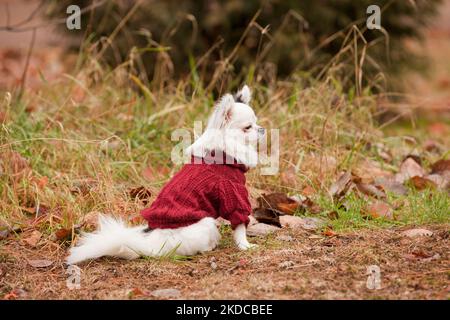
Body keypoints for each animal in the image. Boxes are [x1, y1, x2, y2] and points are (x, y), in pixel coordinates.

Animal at [67, 85, 264, 264]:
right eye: (247, 127)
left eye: (256, 122)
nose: (261, 129)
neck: (223, 151)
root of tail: (150, 243)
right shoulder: (233, 194)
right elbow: (240, 225)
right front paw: (245, 246)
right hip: (206, 223)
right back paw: (210, 246)